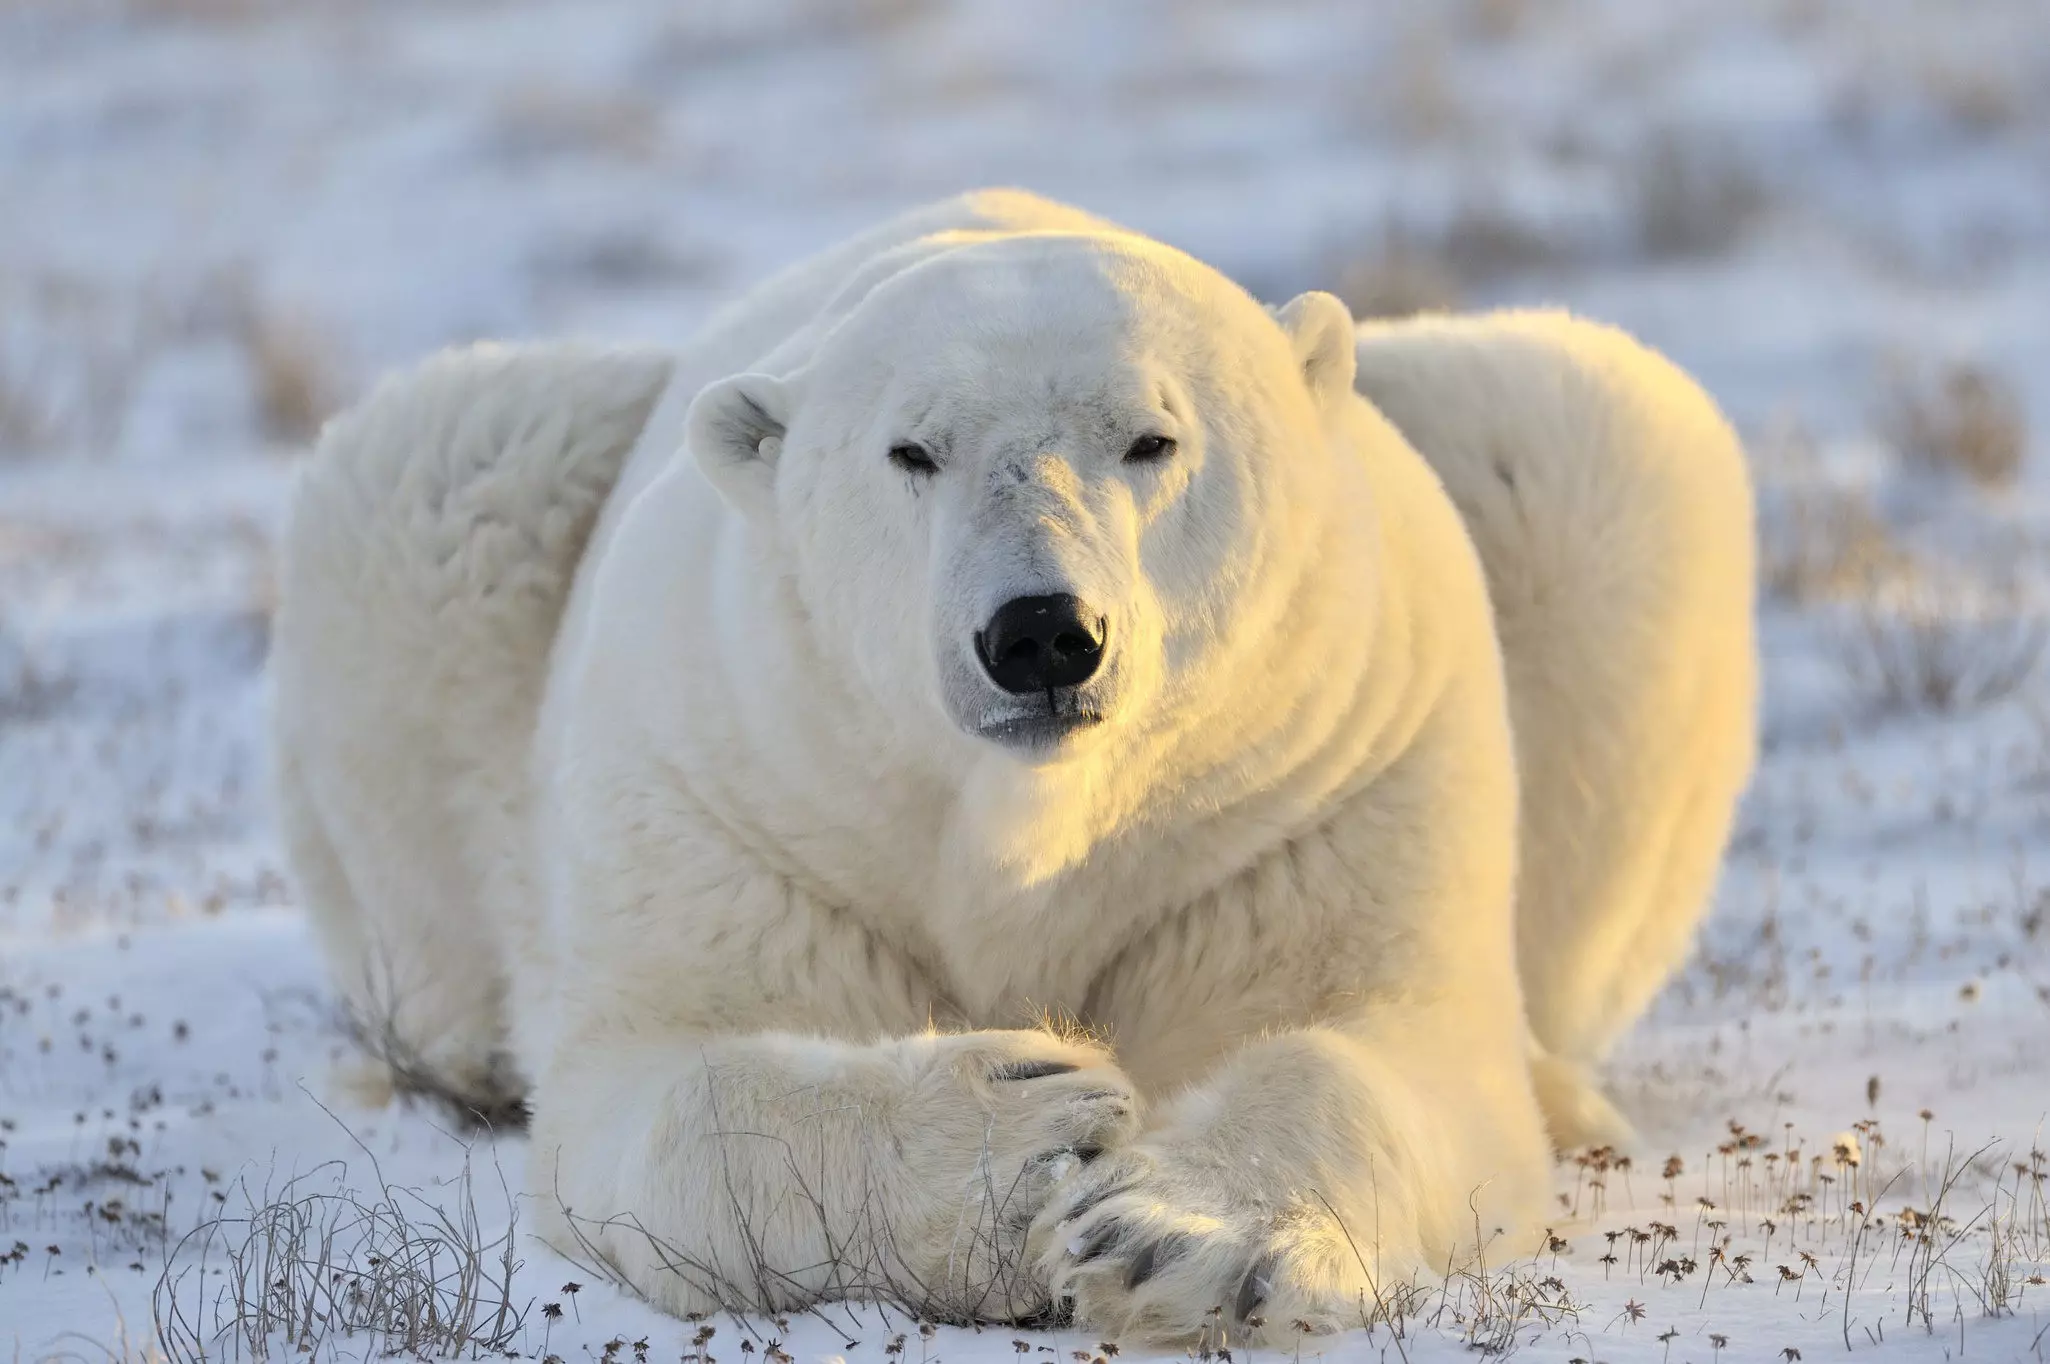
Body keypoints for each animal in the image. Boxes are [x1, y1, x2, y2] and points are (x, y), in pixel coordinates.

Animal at [270, 188, 1755, 1344]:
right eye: (910, 449)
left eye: (1152, 437)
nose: (1041, 633)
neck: (1031, 830)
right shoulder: (731, 787)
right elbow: (663, 1077)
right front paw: (1028, 1136)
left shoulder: (1324, 783)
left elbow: (1380, 1037)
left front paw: (1178, 1241)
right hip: (465, 521)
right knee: (438, 463)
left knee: (1587, 425)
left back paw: (1570, 1092)